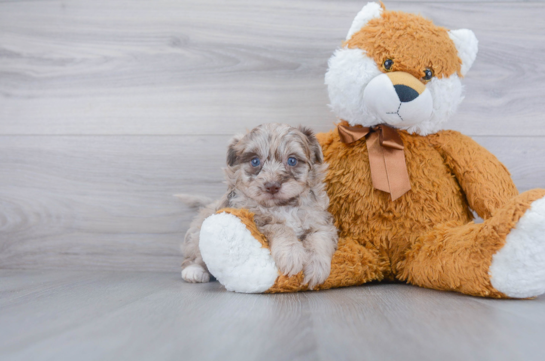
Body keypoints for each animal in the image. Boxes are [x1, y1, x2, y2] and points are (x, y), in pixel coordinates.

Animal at [177, 122, 336, 288]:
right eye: (255, 161)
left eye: (292, 160)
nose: (272, 186)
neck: (283, 206)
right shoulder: (256, 220)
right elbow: (280, 227)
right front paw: (291, 254)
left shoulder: (320, 221)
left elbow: (319, 238)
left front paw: (316, 267)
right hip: (197, 234)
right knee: (194, 255)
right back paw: (194, 271)